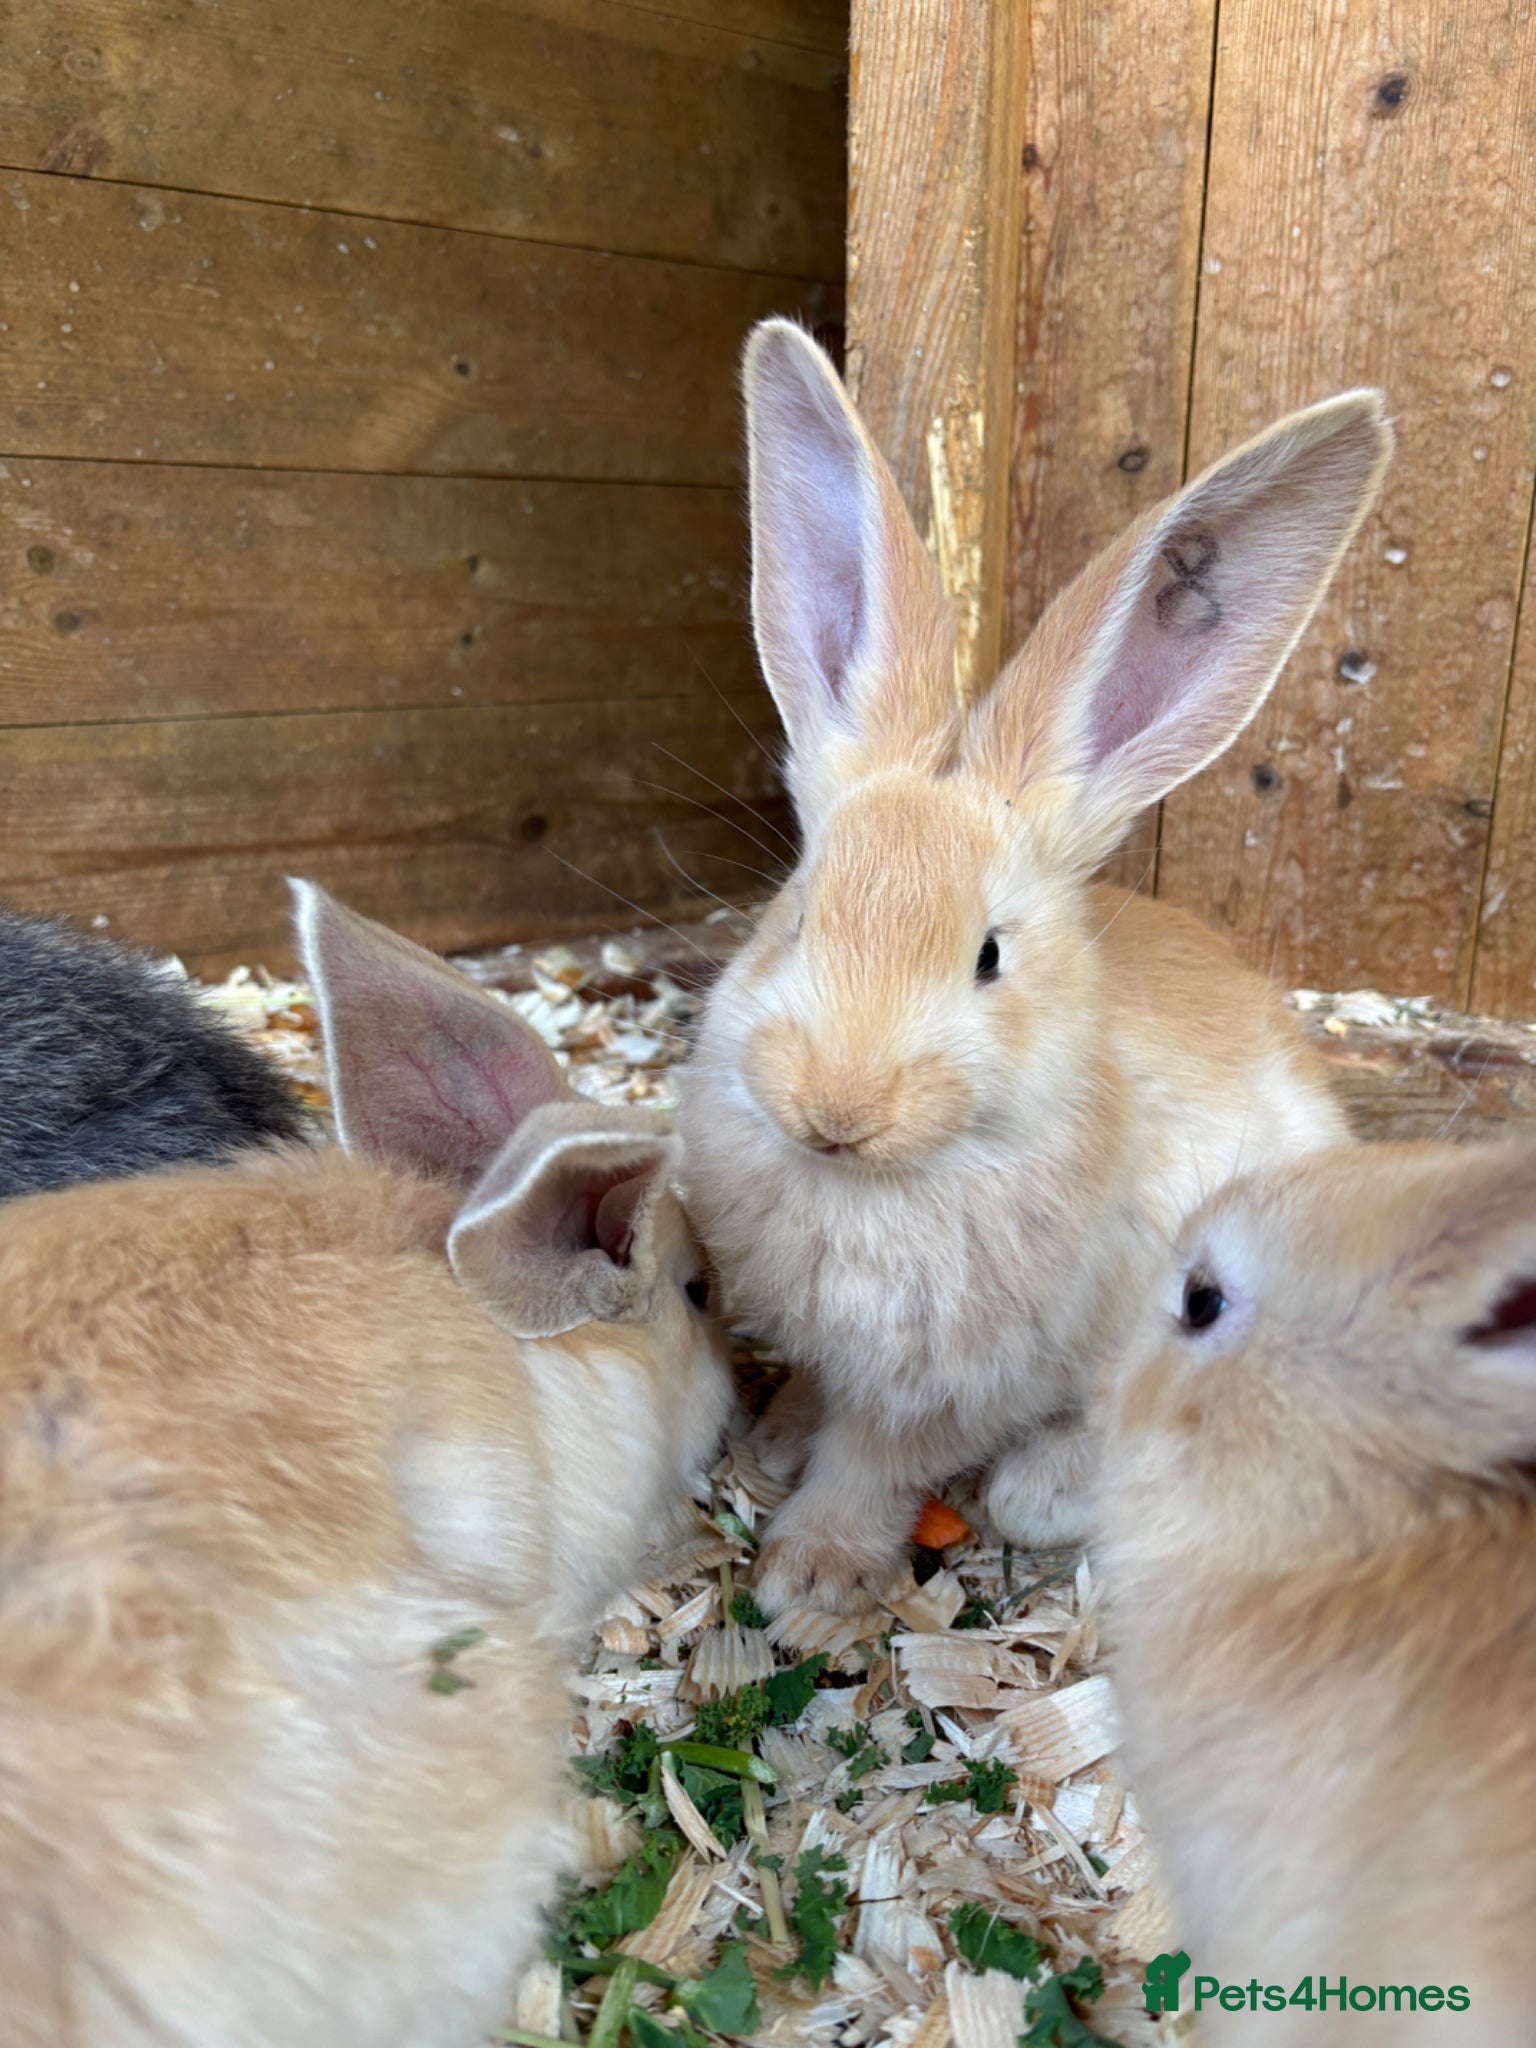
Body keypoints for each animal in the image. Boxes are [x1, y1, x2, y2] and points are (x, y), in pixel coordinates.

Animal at [677, 317, 1390, 1614]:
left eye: (989, 956)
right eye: (797, 914)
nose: (834, 1108)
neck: (886, 1184)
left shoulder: (949, 1385)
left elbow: (874, 1463)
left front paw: (810, 1575)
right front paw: (777, 1440)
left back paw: (1045, 1487)